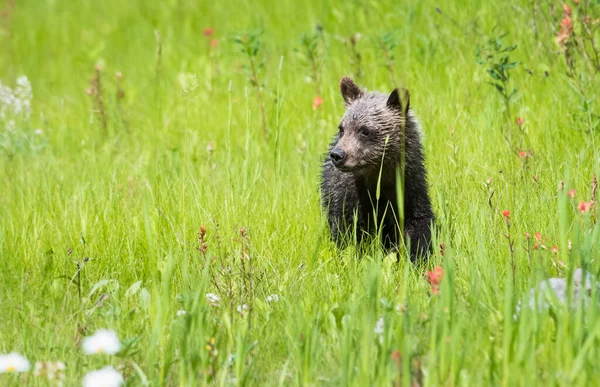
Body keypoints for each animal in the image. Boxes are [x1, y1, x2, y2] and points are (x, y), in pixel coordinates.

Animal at [322, 77, 434, 262]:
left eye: (365, 131)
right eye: (342, 129)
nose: (338, 155)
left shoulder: (410, 189)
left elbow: (419, 225)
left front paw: (417, 256)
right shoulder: (349, 196)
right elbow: (348, 231)